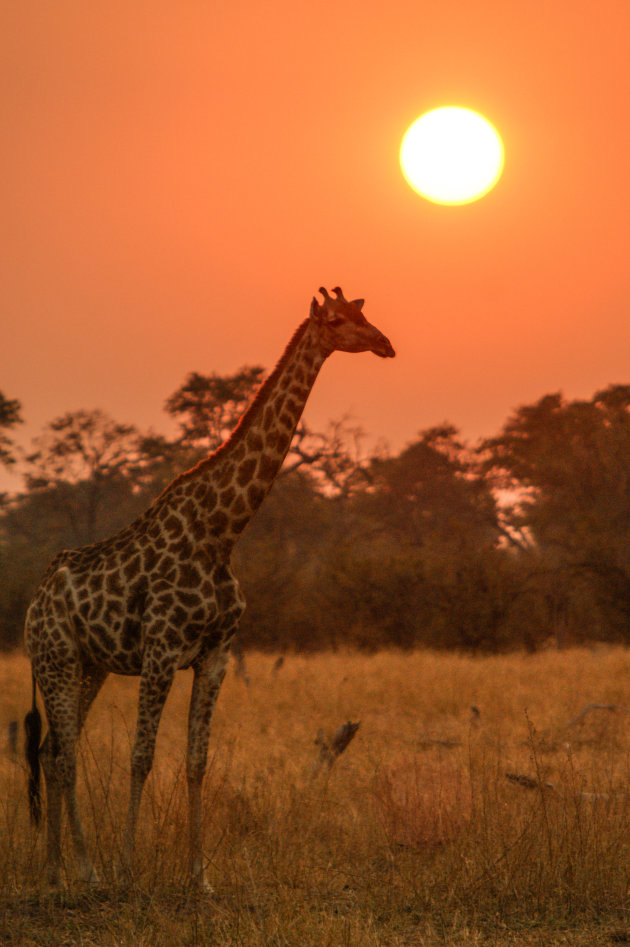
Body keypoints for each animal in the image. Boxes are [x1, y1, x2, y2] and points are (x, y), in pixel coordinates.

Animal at [25, 286, 396, 888]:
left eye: (366, 314)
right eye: (340, 321)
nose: (386, 344)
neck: (222, 532)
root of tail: (34, 602)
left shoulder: (216, 654)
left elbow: (197, 760)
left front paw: (198, 874)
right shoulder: (159, 651)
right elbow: (141, 755)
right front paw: (129, 867)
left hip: (88, 665)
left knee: (56, 749)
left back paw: (59, 869)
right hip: (55, 659)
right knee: (62, 753)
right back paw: (87, 869)